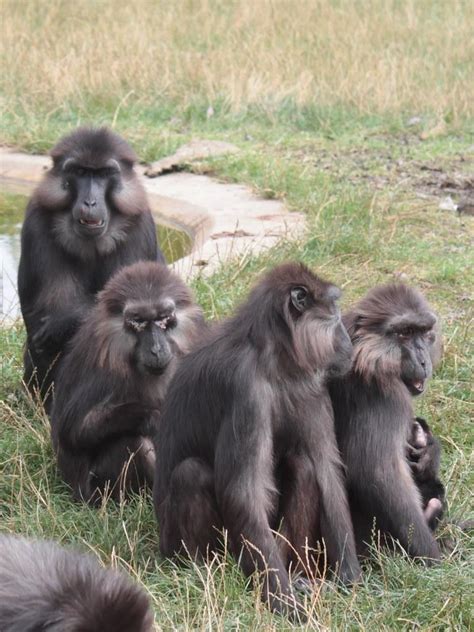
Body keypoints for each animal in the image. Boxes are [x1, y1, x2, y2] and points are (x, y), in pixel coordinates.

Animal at [18, 124, 164, 410]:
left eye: (104, 174)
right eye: (81, 172)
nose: (90, 203)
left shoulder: (139, 225)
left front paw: (60, 324)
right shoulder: (36, 222)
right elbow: (49, 309)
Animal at [51, 260, 204, 504]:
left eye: (163, 318)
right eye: (138, 321)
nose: (156, 349)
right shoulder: (105, 365)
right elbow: (73, 431)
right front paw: (153, 417)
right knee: (135, 442)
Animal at [154, 264, 362, 620]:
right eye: (334, 313)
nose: (347, 343)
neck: (274, 359)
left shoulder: (311, 384)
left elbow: (326, 470)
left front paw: (349, 577)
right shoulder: (245, 389)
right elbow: (243, 493)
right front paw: (284, 603)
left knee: (304, 466)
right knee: (191, 472)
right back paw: (203, 570)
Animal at [330, 284, 444, 560]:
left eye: (423, 332)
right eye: (404, 333)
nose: (423, 361)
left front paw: (428, 448)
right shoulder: (385, 396)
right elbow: (378, 472)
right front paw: (433, 557)